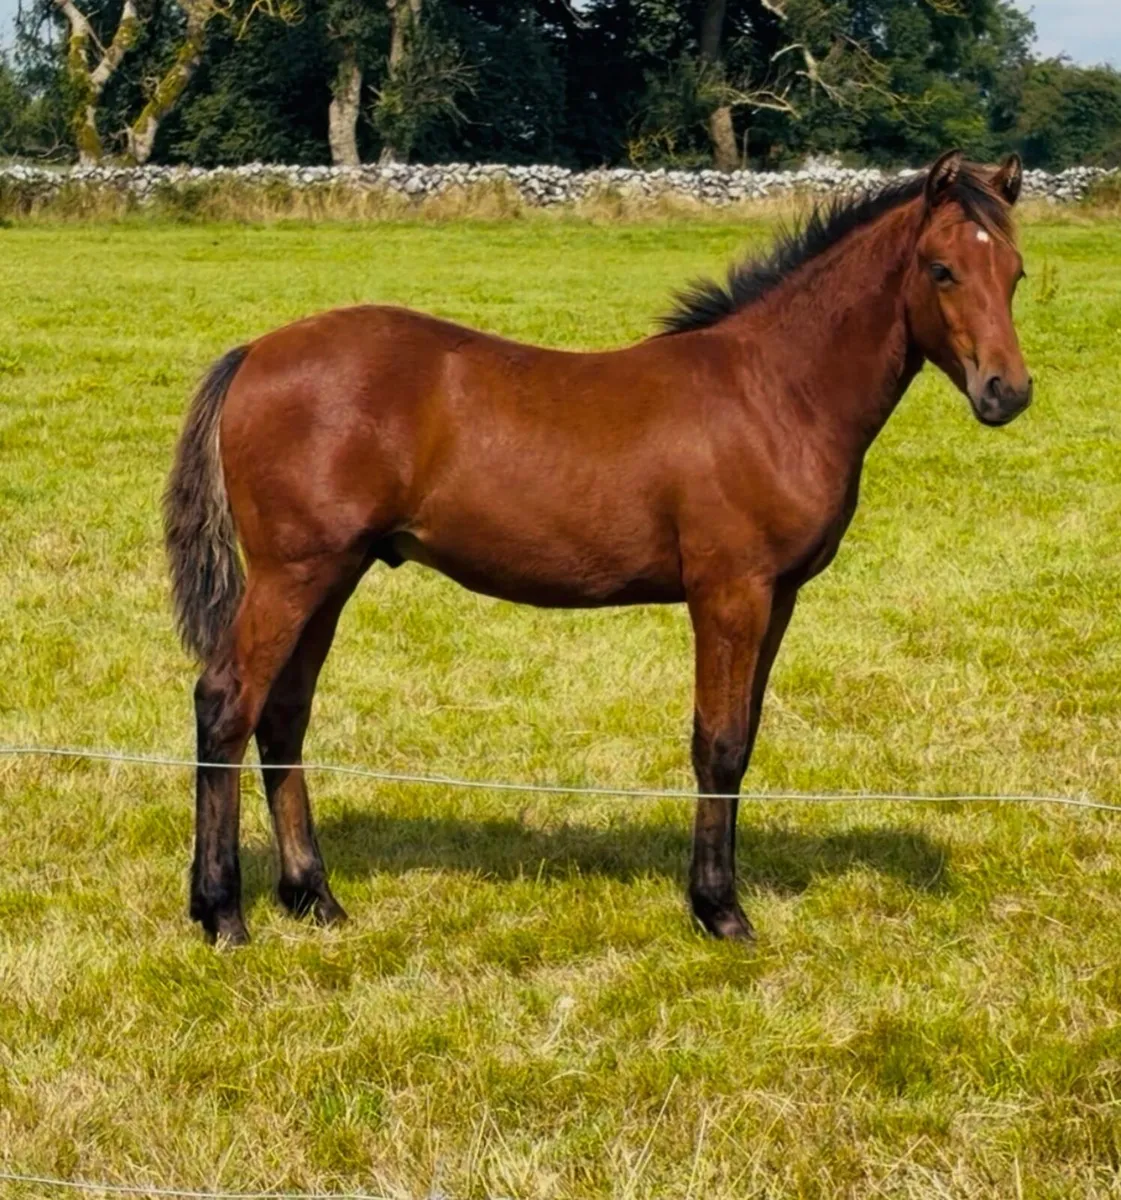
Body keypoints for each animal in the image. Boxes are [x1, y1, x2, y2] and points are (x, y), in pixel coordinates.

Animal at [164, 149, 1032, 946]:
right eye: (942, 269)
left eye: (1016, 272)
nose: (1006, 392)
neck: (772, 392)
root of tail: (255, 352)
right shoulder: (729, 591)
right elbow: (717, 743)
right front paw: (718, 910)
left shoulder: (778, 596)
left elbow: (745, 736)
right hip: (292, 575)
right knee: (227, 704)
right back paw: (222, 913)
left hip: (333, 576)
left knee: (283, 714)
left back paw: (313, 897)